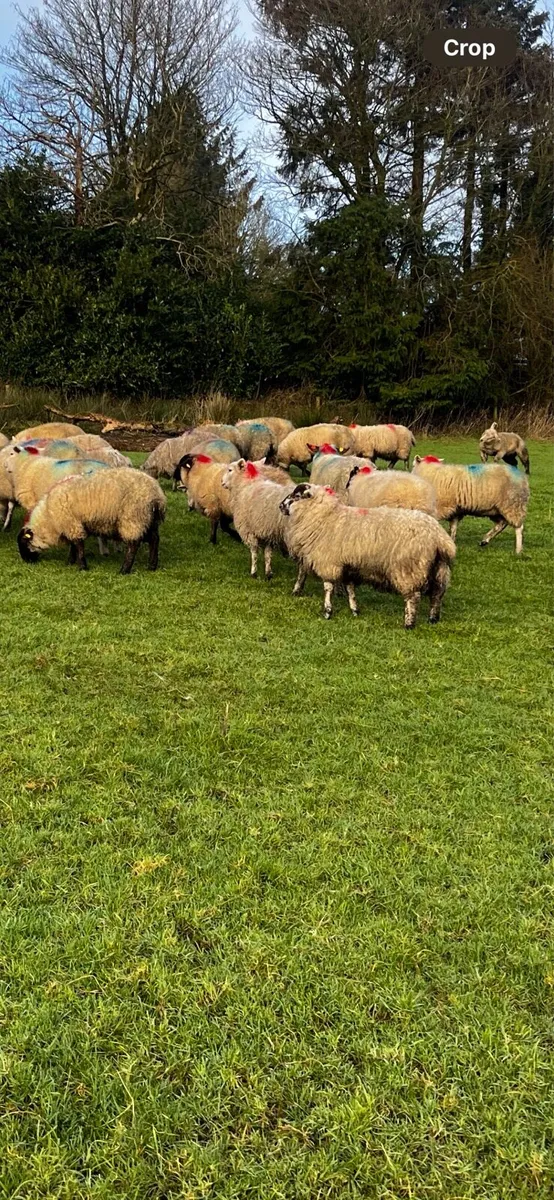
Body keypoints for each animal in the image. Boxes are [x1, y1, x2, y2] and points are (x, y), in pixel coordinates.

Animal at [17, 468, 166, 573]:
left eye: (24, 542)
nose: (27, 561)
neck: (49, 517)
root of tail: (157, 494)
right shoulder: (73, 524)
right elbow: (73, 545)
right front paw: (70, 562)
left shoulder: (71, 523)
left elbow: (78, 545)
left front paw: (82, 567)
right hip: (148, 520)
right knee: (154, 539)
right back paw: (152, 566)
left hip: (133, 517)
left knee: (134, 544)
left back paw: (124, 570)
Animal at [279, 483, 456, 627]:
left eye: (296, 496)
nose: (280, 506)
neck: (324, 517)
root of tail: (439, 536)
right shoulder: (349, 565)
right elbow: (350, 589)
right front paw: (354, 610)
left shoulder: (328, 562)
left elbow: (328, 587)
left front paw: (328, 611)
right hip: (440, 569)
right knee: (437, 595)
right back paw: (433, 619)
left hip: (409, 568)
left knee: (413, 597)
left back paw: (409, 623)